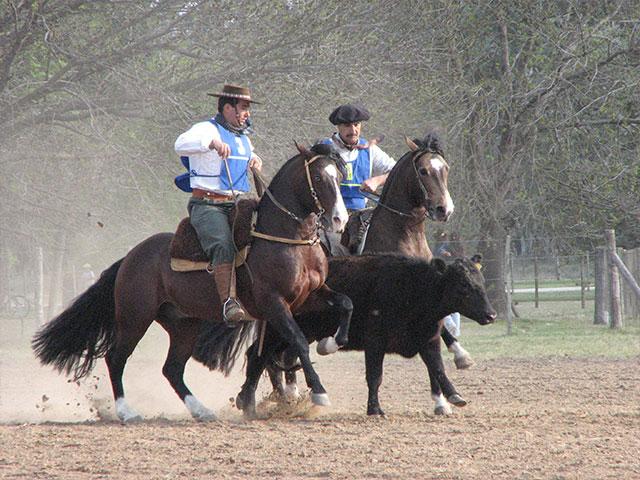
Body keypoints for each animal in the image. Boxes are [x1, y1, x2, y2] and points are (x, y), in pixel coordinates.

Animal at [32, 144, 356, 422]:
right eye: (318, 177)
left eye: (340, 176)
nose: (339, 219)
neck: (286, 239)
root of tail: (129, 258)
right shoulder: (275, 305)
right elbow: (297, 341)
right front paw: (319, 392)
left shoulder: (310, 295)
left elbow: (345, 304)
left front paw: (329, 344)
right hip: (135, 319)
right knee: (116, 358)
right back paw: (127, 412)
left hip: (183, 324)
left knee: (172, 369)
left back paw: (201, 410)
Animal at [238, 255, 498, 416]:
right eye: (463, 285)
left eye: (481, 281)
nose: (491, 314)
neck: (414, 288)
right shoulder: (375, 343)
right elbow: (375, 377)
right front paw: (375, 409)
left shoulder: (428, 341)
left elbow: (438, 369)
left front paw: (454, 396)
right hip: (277, 330)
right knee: (259, 357)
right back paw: (250, 402)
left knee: (262, 357)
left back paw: (249, 402)